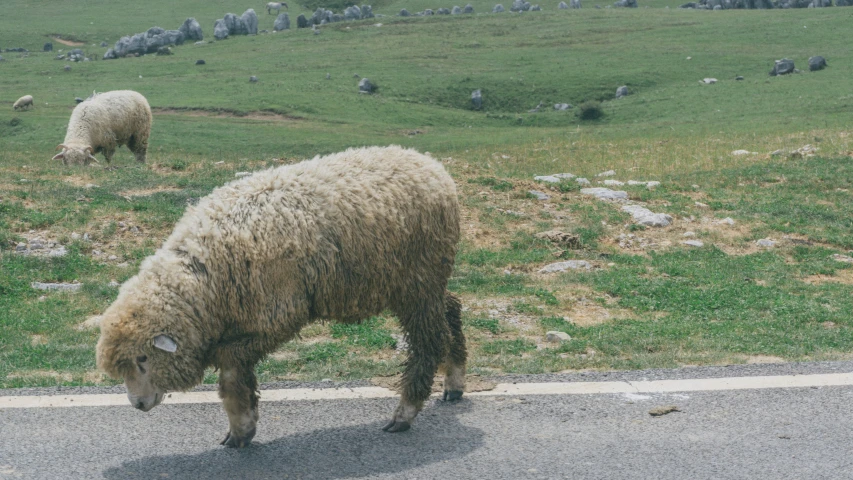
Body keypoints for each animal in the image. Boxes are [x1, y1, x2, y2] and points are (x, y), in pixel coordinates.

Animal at [97, 145, 470, 446]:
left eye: (143, 359)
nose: (137, 404)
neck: (206, 275)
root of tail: (432, 165)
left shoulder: (276, 315)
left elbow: (231, 374)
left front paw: (241, 429)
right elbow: (239, 378)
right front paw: (243, 426)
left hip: (419, 279)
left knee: (430, 341)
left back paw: (405, 413)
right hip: (423, 280)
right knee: (451, 310)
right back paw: (454, 382)